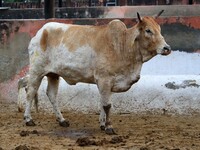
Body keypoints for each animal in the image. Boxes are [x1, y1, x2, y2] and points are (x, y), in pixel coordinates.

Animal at [21, 12, 171, 135]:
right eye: (148, 30)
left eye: (159, 29)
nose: (166, 48)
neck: (122, 46)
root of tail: (41, 32)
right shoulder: (104, 79)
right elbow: (107, 105)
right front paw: (109, 127)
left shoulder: (108, 83)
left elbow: (103, 103)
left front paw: (103, 124)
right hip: (36, 71)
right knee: (30, 91)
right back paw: (28, 119)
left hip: (53, 74)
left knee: (51, 94)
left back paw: (62, 120)